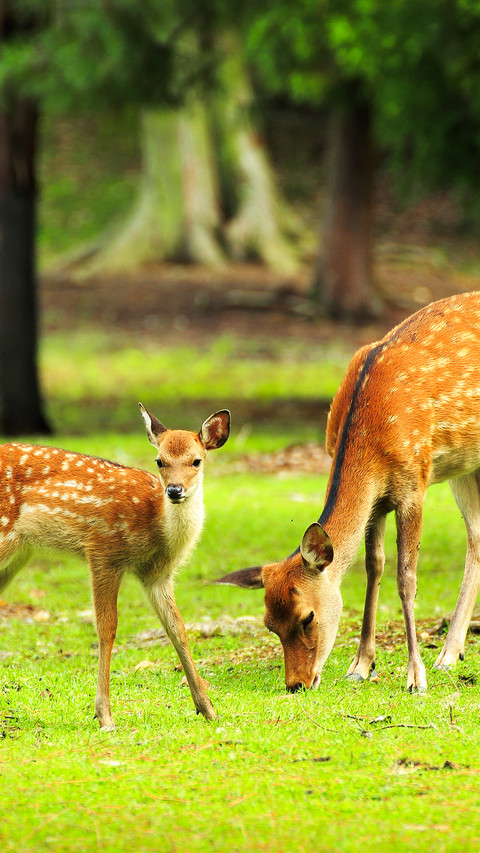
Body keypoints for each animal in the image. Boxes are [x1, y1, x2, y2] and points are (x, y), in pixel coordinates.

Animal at [0, 404, 230, 728]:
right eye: (159, 460)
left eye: (196, 461)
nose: (174, 490)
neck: (155, 526)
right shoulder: (102, 550)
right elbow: (107, 628)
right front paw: (105, 715)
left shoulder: (157, 575)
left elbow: (178, 629)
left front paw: (208, 709)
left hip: (19, 552)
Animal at [217, 291, 480, 694]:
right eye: (269, 625)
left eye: (307, 617)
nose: (296, 684)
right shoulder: (378, 501)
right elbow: (374, 567)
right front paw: (360, 665)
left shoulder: (414, 483)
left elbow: (406, 579)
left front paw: (415, 677)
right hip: (465, 465)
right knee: (476, 535)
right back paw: (450, 654)